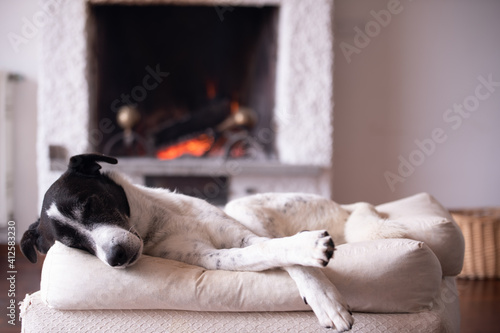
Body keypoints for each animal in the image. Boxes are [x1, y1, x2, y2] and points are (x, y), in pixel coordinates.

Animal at [22, 153, 406, 330]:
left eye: (89, 203)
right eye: (74, 245)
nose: (114, 257)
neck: (158, 220)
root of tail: (348, 209)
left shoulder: (241, 232)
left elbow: (279, 250)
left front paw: (323, 293)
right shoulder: (213, 256)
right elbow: (269, 252)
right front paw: (312, 259)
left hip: (245, 209)